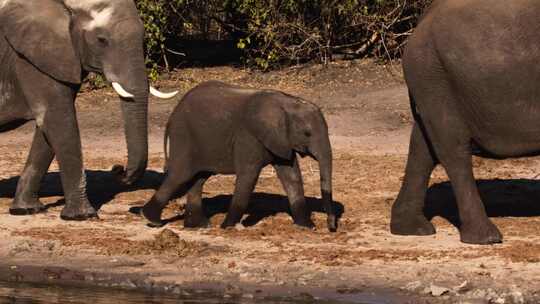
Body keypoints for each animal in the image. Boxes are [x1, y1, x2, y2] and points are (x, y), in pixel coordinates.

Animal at [0, 0, 178, 220]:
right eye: (101, 40)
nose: (118, 168)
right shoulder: (28, 57)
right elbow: (58, 120)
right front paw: (82, 216)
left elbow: (48, 129)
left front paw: (26, 210)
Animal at [141, 79, 336, 232]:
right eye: (307, 133)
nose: (331, 226)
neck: (286, 102)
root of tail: (173, 113)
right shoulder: (249, 136)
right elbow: (248, 176)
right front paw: (227, 227)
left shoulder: (281, 141)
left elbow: (291, 176)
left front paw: (307, 227)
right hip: (184, 136)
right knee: (180, 175)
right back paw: (151, 219)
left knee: (198, 178)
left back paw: (198, 226)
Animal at [390, 0, 540, 243]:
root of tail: (423, 20)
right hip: (435, 77)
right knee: (453, 149)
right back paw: (486, 238)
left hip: (432, 79)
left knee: (423, 146)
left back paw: (412, 229)